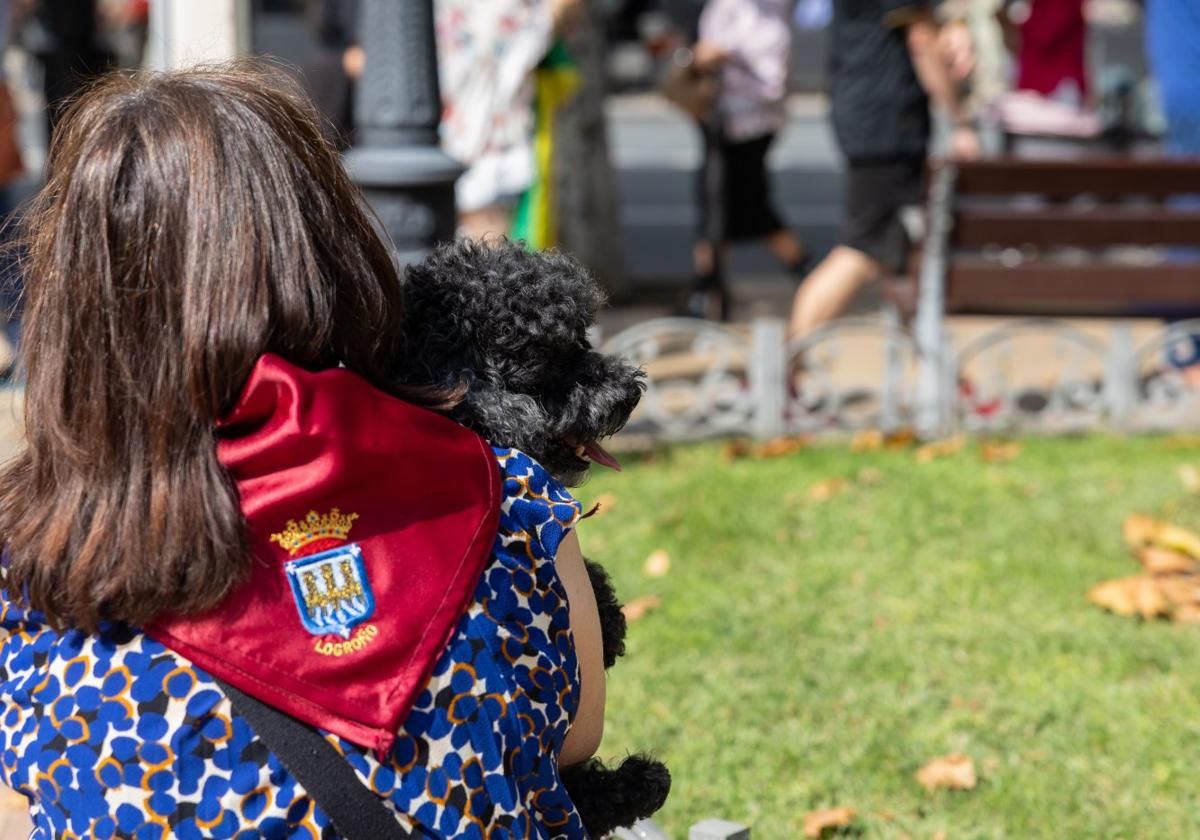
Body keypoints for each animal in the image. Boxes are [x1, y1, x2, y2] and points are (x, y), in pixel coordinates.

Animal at [396, 237, 672, 840]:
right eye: (548, 359)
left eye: (584, 339)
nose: (630, 392)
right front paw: (609, 626)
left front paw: (612, 618)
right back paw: (638, 783)